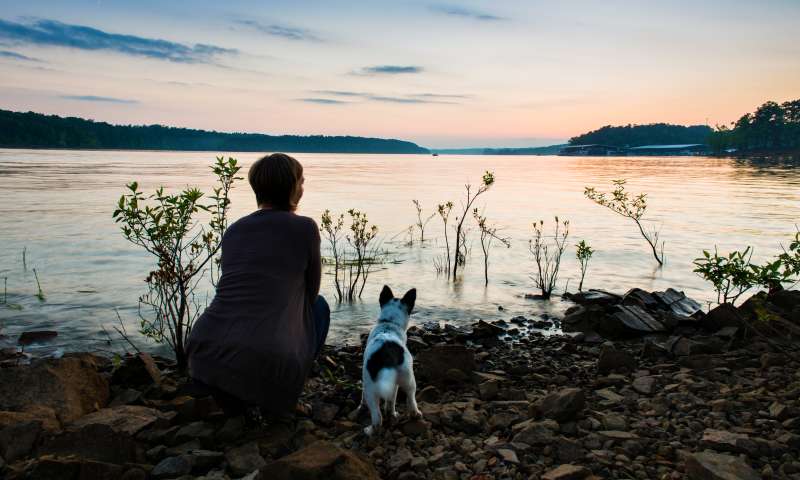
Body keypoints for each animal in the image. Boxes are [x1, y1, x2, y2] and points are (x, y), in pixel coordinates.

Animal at [360, 284, 424, 436]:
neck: (389, 323)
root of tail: (387, 353)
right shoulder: (393, 384)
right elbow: (391, 400)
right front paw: (392, 412)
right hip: (408, 379)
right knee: (410, 398)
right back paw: (414, 414)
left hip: (371, 388)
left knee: (377, 417)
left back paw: (370, 430)